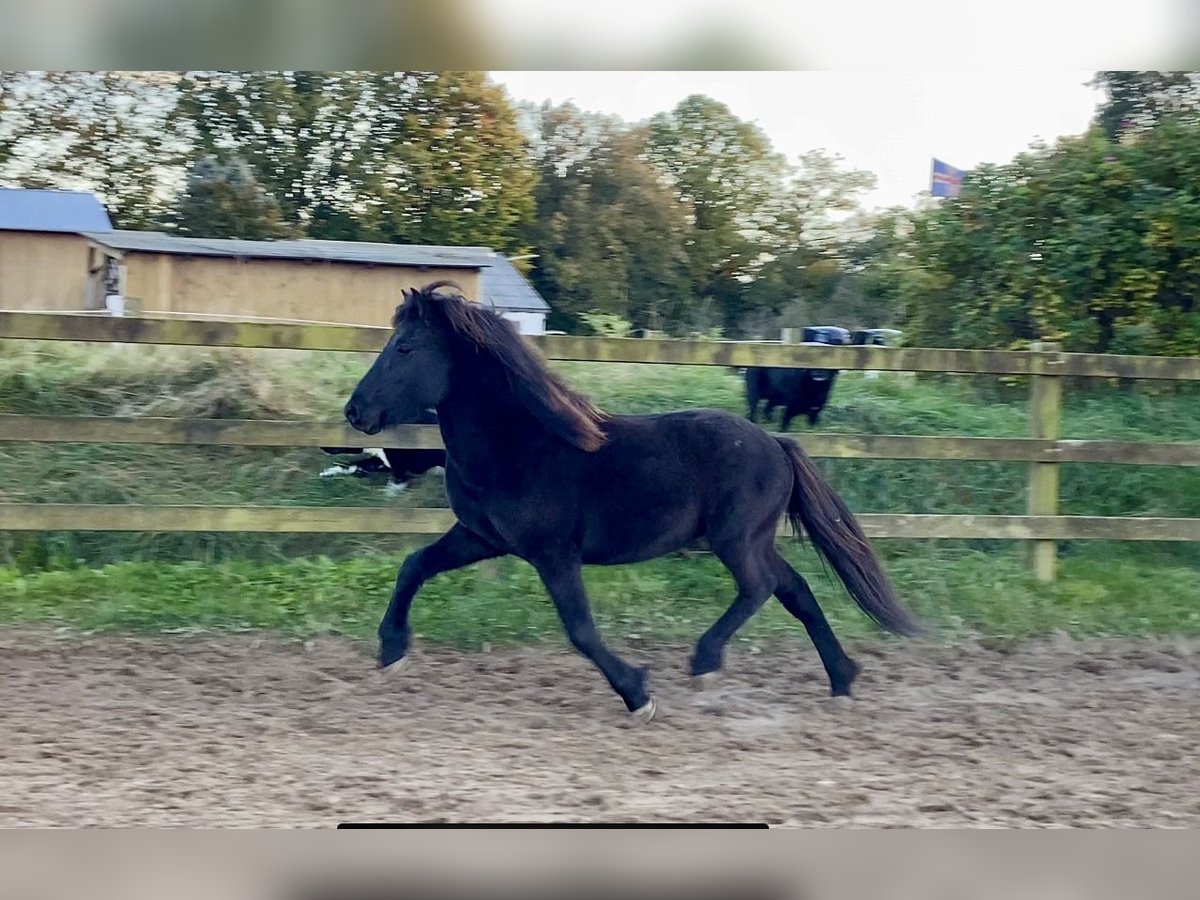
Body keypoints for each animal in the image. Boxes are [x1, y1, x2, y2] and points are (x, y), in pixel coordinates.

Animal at [343, 285, 921, 724]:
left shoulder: (553, 554)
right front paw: (392, 652)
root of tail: (776, 444)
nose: (355, 411)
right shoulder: (481, 538)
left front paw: (638, 694)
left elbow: (580, 630)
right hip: (752, 539)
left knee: (759, 588)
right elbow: (414, 565)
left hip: (735, 539)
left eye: (404, 348)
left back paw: (706, 662)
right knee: (793, 589)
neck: (519, 445)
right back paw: (842, 680)